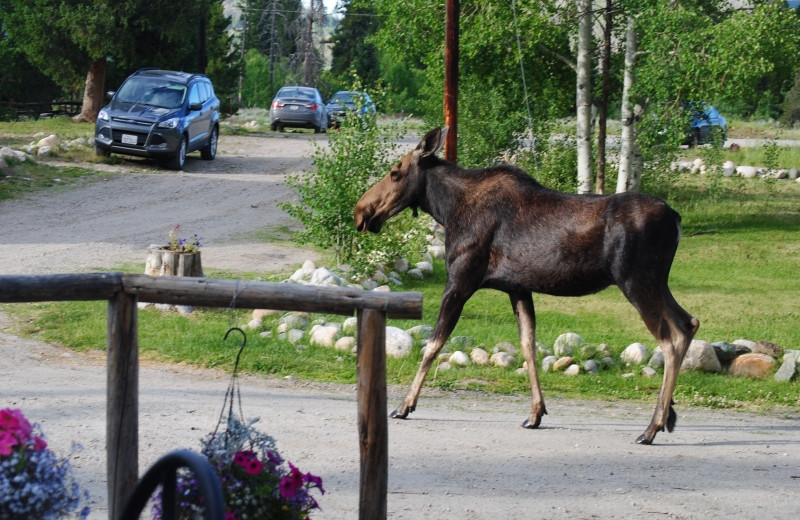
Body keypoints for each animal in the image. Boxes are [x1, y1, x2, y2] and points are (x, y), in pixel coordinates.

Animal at [354, 126, 696, 442]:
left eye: (395, 173)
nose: (361, 211)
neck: (446, 210)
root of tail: (677, 219)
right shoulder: (517, 287)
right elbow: (527, 345)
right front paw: (535, 412)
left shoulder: (461, 280)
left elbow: (434, 344)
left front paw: (404, 405)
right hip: (656, 282)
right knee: (688, 323)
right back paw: (667, 416)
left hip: (635, 280)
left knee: (669, 339)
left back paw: (651, 427)